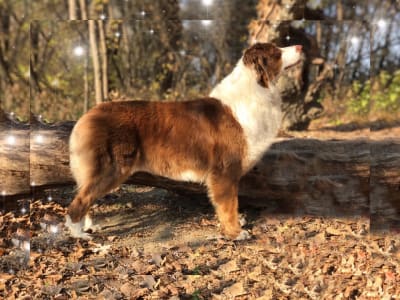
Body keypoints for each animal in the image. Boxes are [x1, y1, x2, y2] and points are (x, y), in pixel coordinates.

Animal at [66, 42, 304, 239]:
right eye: (276, 52)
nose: (301, 46)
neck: (256, 87)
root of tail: (89, 114)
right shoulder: (224, 171)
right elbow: (228, 205)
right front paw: (236, 233)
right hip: (112, 168)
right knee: (79, 201)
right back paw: (80, 235)